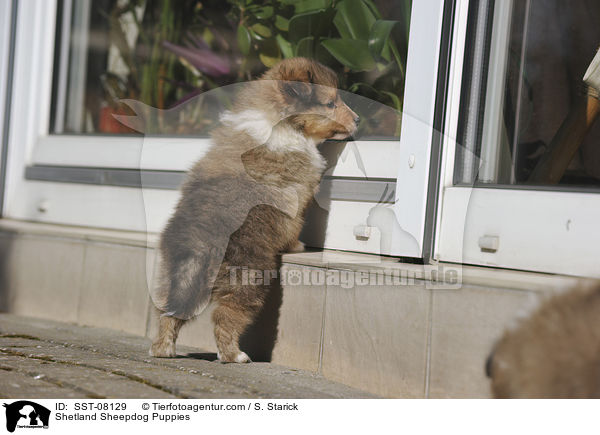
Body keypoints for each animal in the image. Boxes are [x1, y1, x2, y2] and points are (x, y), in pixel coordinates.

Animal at [149, 58, 358, 364]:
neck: (281, 120)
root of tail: (197, 242)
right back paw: (235, 356)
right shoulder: (298, 198)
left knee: (167, 313)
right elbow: (295, 225)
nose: (358, 119)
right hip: (249, 280)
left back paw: (163, 350)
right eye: (331, 103)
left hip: (174, 277)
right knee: (224, 318)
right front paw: (298, 246)